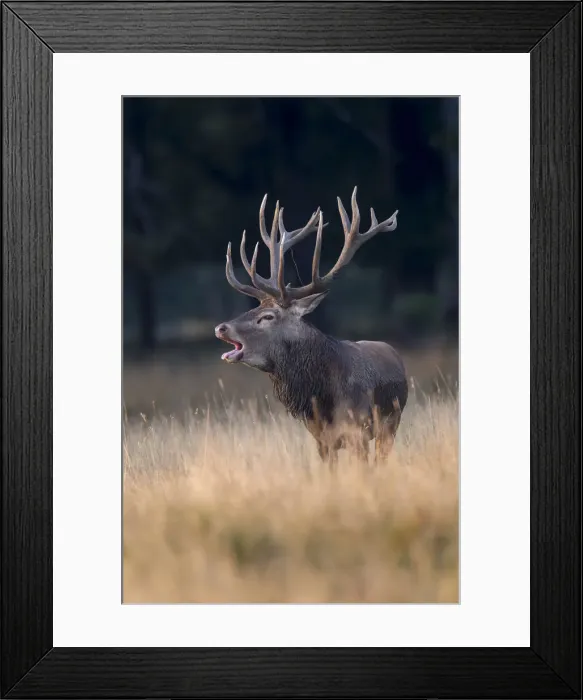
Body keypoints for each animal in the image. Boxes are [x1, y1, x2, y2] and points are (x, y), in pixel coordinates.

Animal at [214, 186, 408, 465]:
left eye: (268, 316)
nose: (221, 328)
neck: (323, 398)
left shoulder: (358, 431)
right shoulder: (320, 439)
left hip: (391, 424)